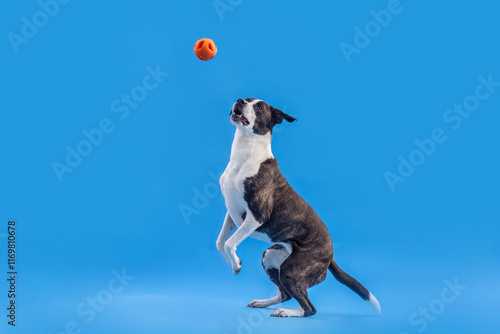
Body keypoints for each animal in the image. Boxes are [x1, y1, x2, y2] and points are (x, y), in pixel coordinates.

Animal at [215, 98, 378, 318]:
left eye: (259, 107)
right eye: (246, 99)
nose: (239, 101)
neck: (245, 157)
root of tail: (331, 255)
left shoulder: (257, 215)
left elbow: (230, 243)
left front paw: (236, 263)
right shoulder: (232, 214)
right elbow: (220, 242)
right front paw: (233, 264)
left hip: (292, 271)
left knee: (309, 308)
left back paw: (286, 312)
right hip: (272, 257)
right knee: (285, 294)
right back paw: (264, 303)